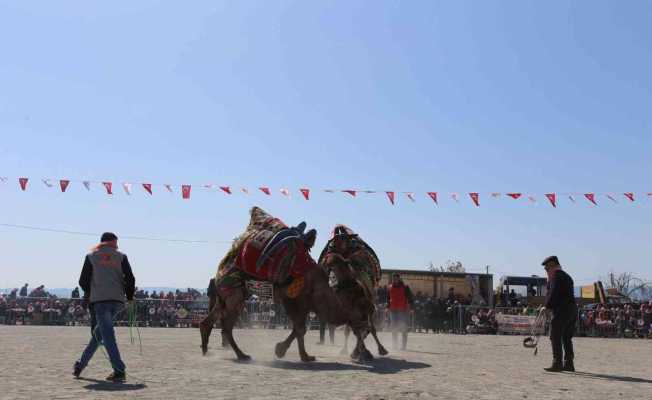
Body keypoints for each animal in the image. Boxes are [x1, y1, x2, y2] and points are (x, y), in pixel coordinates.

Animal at [201, 208, 380, 360]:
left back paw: (208, 350)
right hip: (234, 295)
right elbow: (300, 328)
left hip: (226, 296)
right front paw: (288, 352)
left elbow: (300, 329)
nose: (372, 309)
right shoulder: (293, 299)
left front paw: (300, 355)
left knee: (210, 321)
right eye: (360, 302)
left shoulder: (305, 304)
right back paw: (241, 355)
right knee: (226, 327)